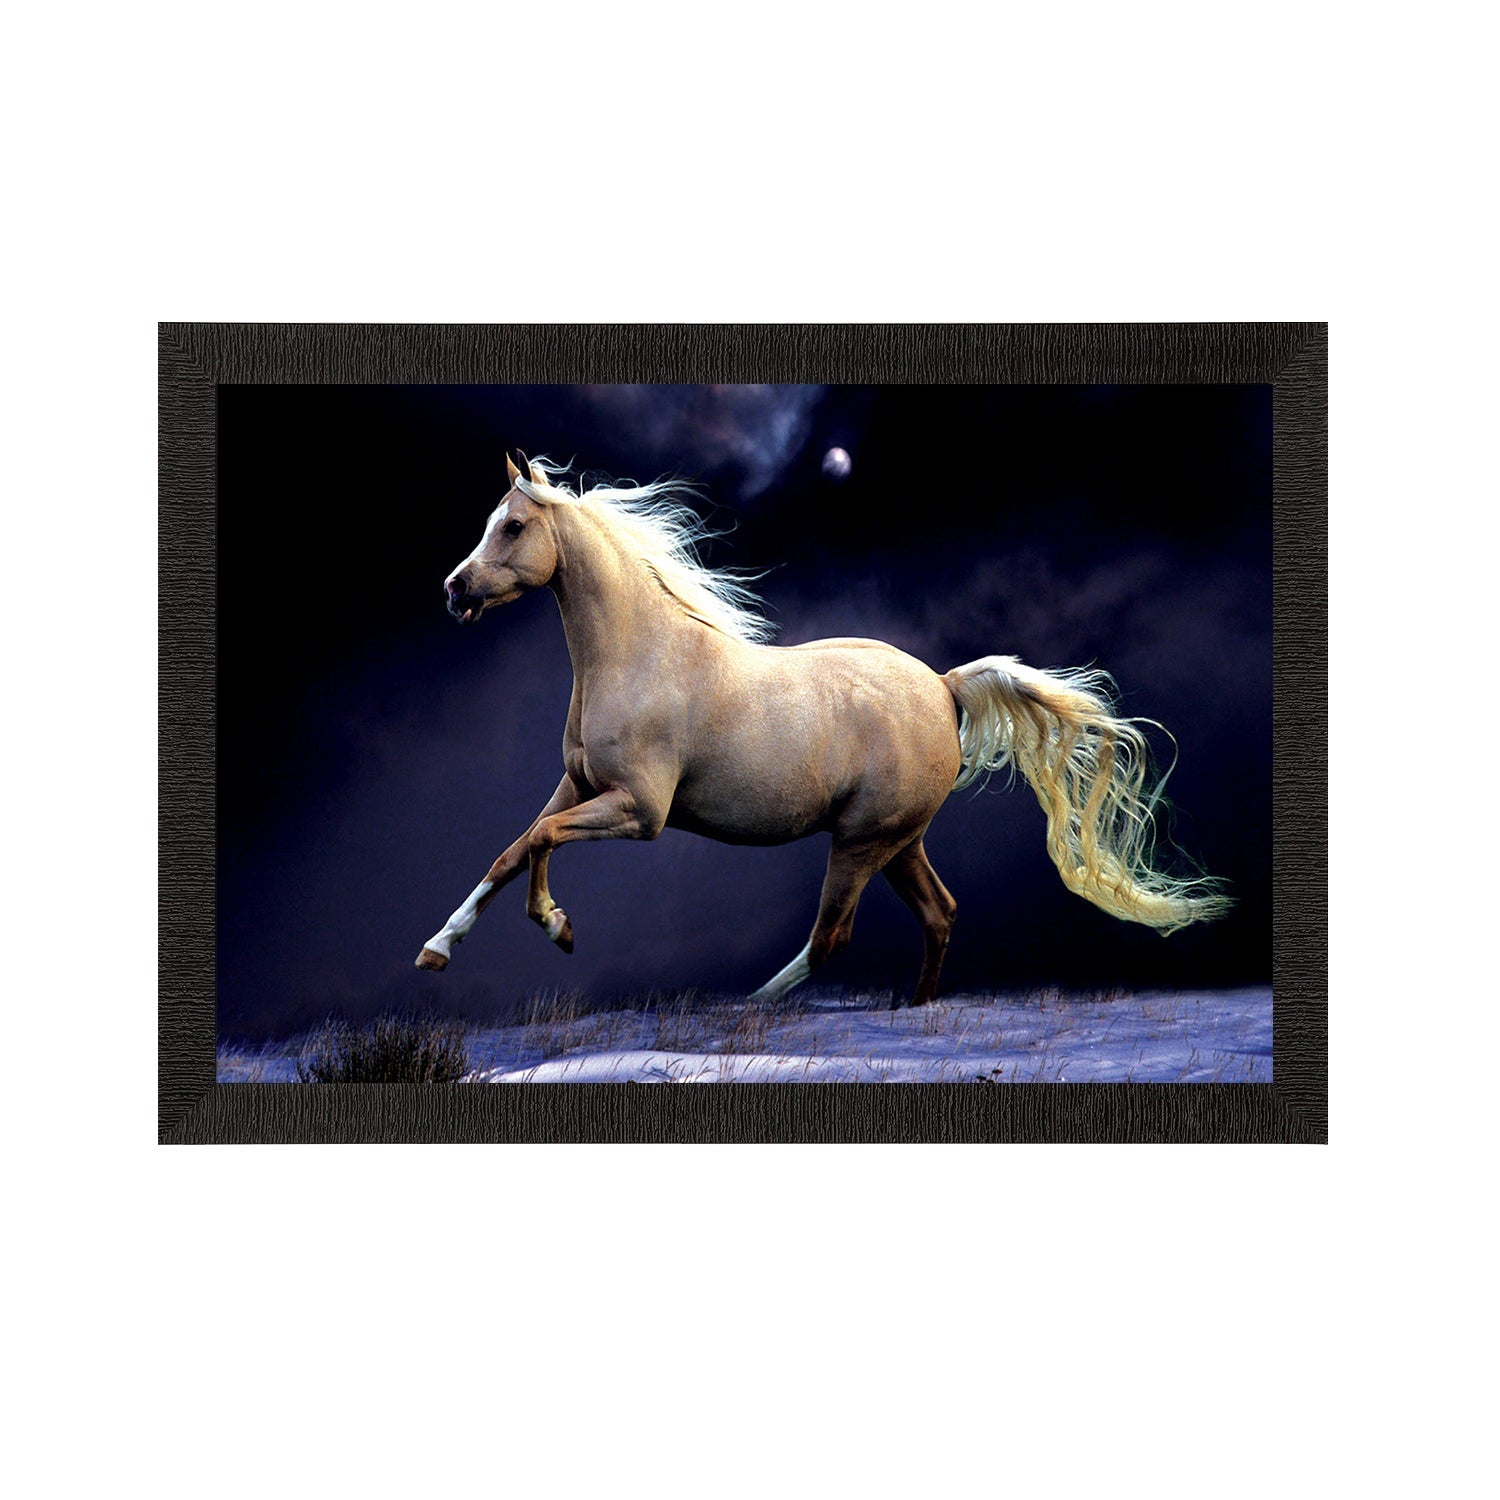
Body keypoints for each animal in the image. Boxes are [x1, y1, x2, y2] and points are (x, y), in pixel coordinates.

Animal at [415, 455, 1229, 1006]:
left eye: (513, 525)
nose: (454, 591)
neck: (640, 656)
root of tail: (943, 688)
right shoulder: (577, 785)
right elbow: (514, 847)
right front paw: (436, 949)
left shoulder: (639, 811)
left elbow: (540, 844)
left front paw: (558, 927)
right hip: (899, 841)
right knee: (940, 912)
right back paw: (915, 1006)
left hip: (862, 842)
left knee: (831, 937)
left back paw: (744, 1010)